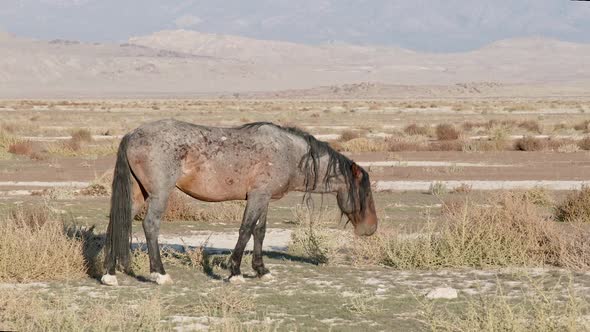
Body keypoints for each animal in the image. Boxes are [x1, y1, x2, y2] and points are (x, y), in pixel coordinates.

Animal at [100, 119, 380, 286]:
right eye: (365, 193)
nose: (371, 228)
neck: (289, 153)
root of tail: (132, 134)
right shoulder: (257, 197)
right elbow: (245, 230)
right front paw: (235, 272)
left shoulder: (264, 198)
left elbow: (259, 231)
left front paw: (261, 270)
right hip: (159, 194)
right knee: (150, 225)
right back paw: (160, 273)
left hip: (138, 194)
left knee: (117, 222)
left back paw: (109, 274)